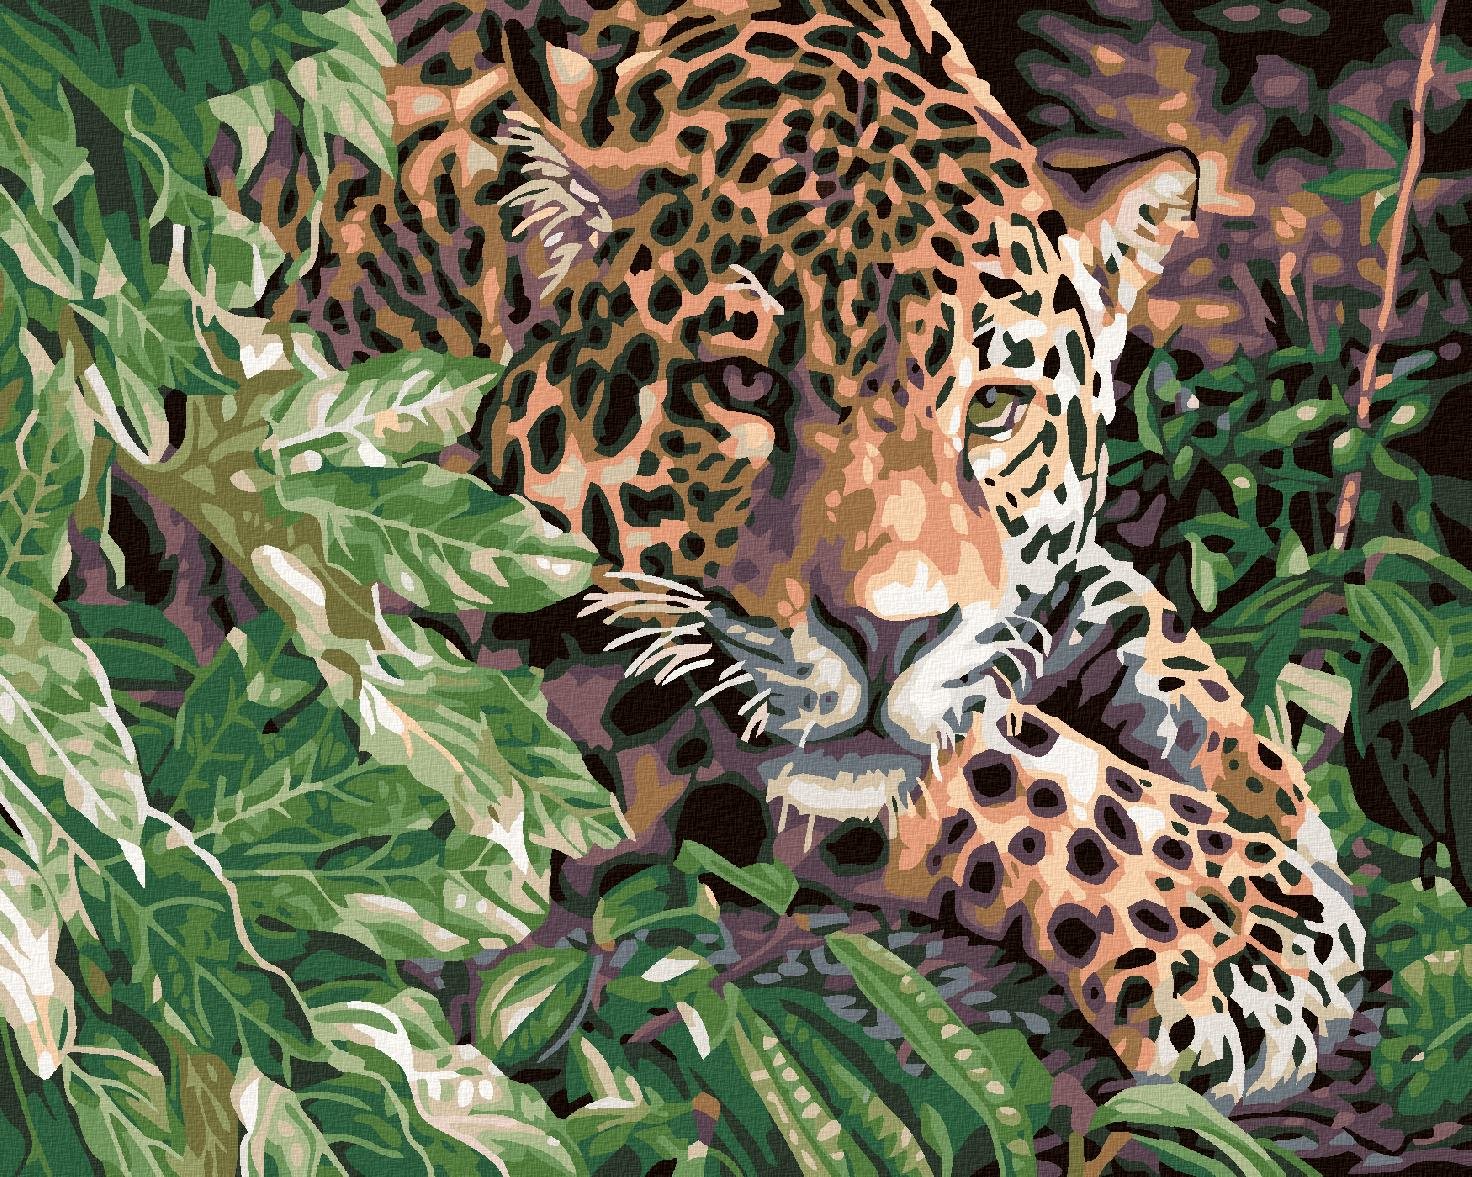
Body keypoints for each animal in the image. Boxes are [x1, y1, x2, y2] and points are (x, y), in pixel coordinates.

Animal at [225, 0, 1365, 1108]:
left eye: (994, 408)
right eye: (740, 384)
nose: (887, 635)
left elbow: (1133, 621)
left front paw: (1274, 803)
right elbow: (999, 758)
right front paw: (1244, 927)